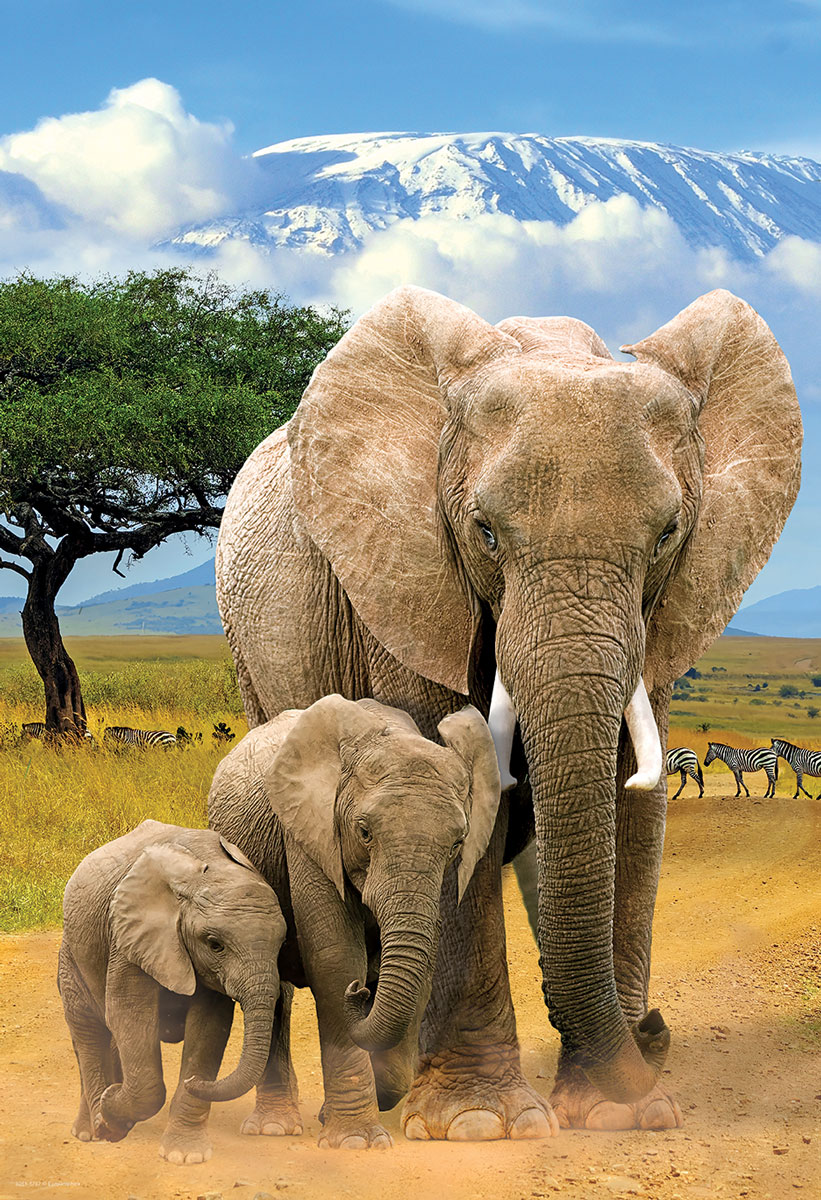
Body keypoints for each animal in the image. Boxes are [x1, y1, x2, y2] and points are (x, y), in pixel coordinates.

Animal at [58, 819, 287, 1164]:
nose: (195, 1083)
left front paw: (184, 1155)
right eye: (215, 944)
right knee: (89, 1031)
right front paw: (109, 1118)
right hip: (71, 954)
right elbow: (129, 1014)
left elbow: (208, 1028)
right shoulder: (129, 938)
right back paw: (91, 1130)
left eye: (282, 944)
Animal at [206, 694, 505, 1148]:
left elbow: (422, 965)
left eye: (457, 842)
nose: (360, 992)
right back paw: (274, 1128)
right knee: (273, 989)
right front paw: (354, 1142)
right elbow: (335, 957)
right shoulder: (309, 831)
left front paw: (342, 1114)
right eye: (364, 832)